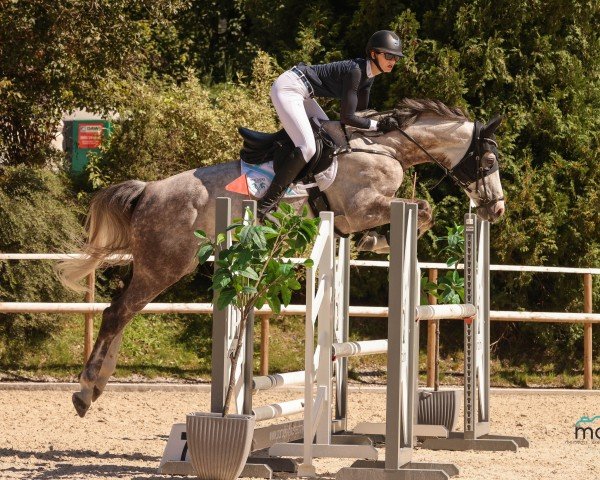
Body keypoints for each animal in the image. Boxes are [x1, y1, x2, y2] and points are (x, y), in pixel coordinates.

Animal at [57, 98, 506, 416]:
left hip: (161, 265)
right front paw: (376, 241)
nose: (496, 209)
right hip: (165, 265)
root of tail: (149, 191)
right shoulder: (360, 208)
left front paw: (370, 242)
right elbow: (424, 210)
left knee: (122, 311)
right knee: (117, 312)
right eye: (488, 160)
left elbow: (418, 213)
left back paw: (95, 386)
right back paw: (86, 390)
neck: (385, 148)